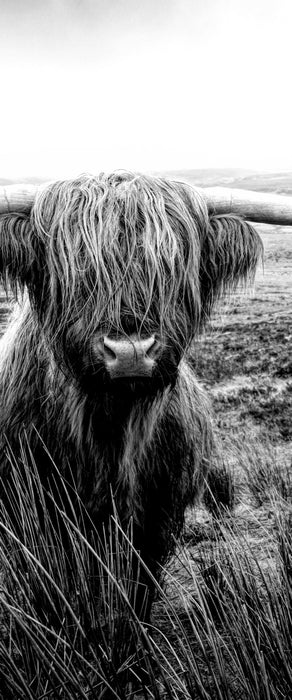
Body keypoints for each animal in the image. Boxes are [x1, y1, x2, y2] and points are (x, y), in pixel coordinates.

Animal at [0, 172, 262, 620]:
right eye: (78, 269)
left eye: (171, 267)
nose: (130, 351)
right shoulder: (31, 512)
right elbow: (52, 586)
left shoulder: (158, 515)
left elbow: (139, 588)